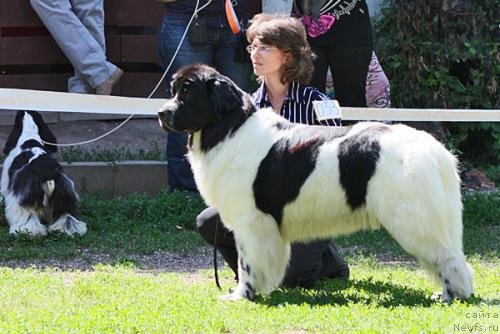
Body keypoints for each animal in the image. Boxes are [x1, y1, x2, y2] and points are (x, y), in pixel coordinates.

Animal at [158, 64, 474, 302]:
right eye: (174, 90)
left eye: (187, 92)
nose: (161, 113)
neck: (229, 127)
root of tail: (435, 150)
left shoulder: (251, 222)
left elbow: (247, 264)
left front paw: (241, 295)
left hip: (414, 218)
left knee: (448, 258)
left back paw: (451, 296)